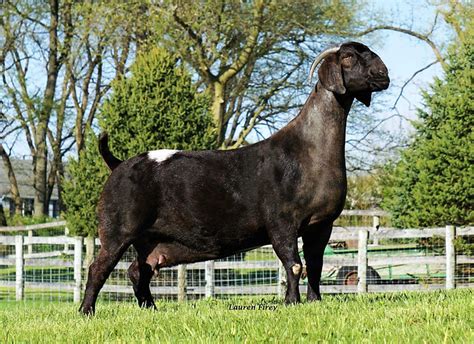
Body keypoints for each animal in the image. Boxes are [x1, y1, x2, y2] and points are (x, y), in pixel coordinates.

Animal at [80, 41, 388, 314]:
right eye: (347, 57)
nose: (383, 74)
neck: (308, 150)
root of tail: (117, 164)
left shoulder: (321, 224)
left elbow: (314, 264)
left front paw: (314, 301)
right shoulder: (282, 222)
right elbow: (294, 264)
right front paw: (292, 302)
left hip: (150, 240)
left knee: (138, 270)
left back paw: (151, 308)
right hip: (118, 228)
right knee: (99, 267)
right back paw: (87, 311)